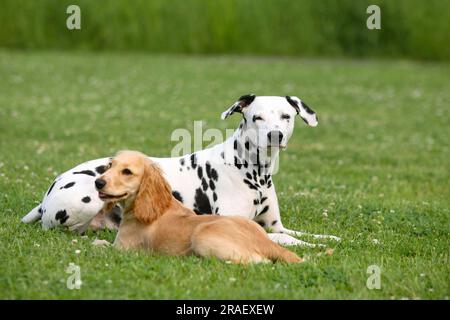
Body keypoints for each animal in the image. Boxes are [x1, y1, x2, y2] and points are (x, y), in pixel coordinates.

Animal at [20, 95, 338, 248]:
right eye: (256, 117)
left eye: (286, 116)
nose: (275, 135)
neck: (252, 171)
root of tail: (51, 188)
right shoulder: (241, 225)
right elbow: (287, 240)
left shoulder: (275, 225)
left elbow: (305, 234)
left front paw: (336, 239)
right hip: (88, 197)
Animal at [96, 151, 304, 264]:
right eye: (109, 165)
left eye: (127, 172)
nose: (98, 182)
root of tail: (265, 242)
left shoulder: (122, 248)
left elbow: (99, 244)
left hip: (202, 237)